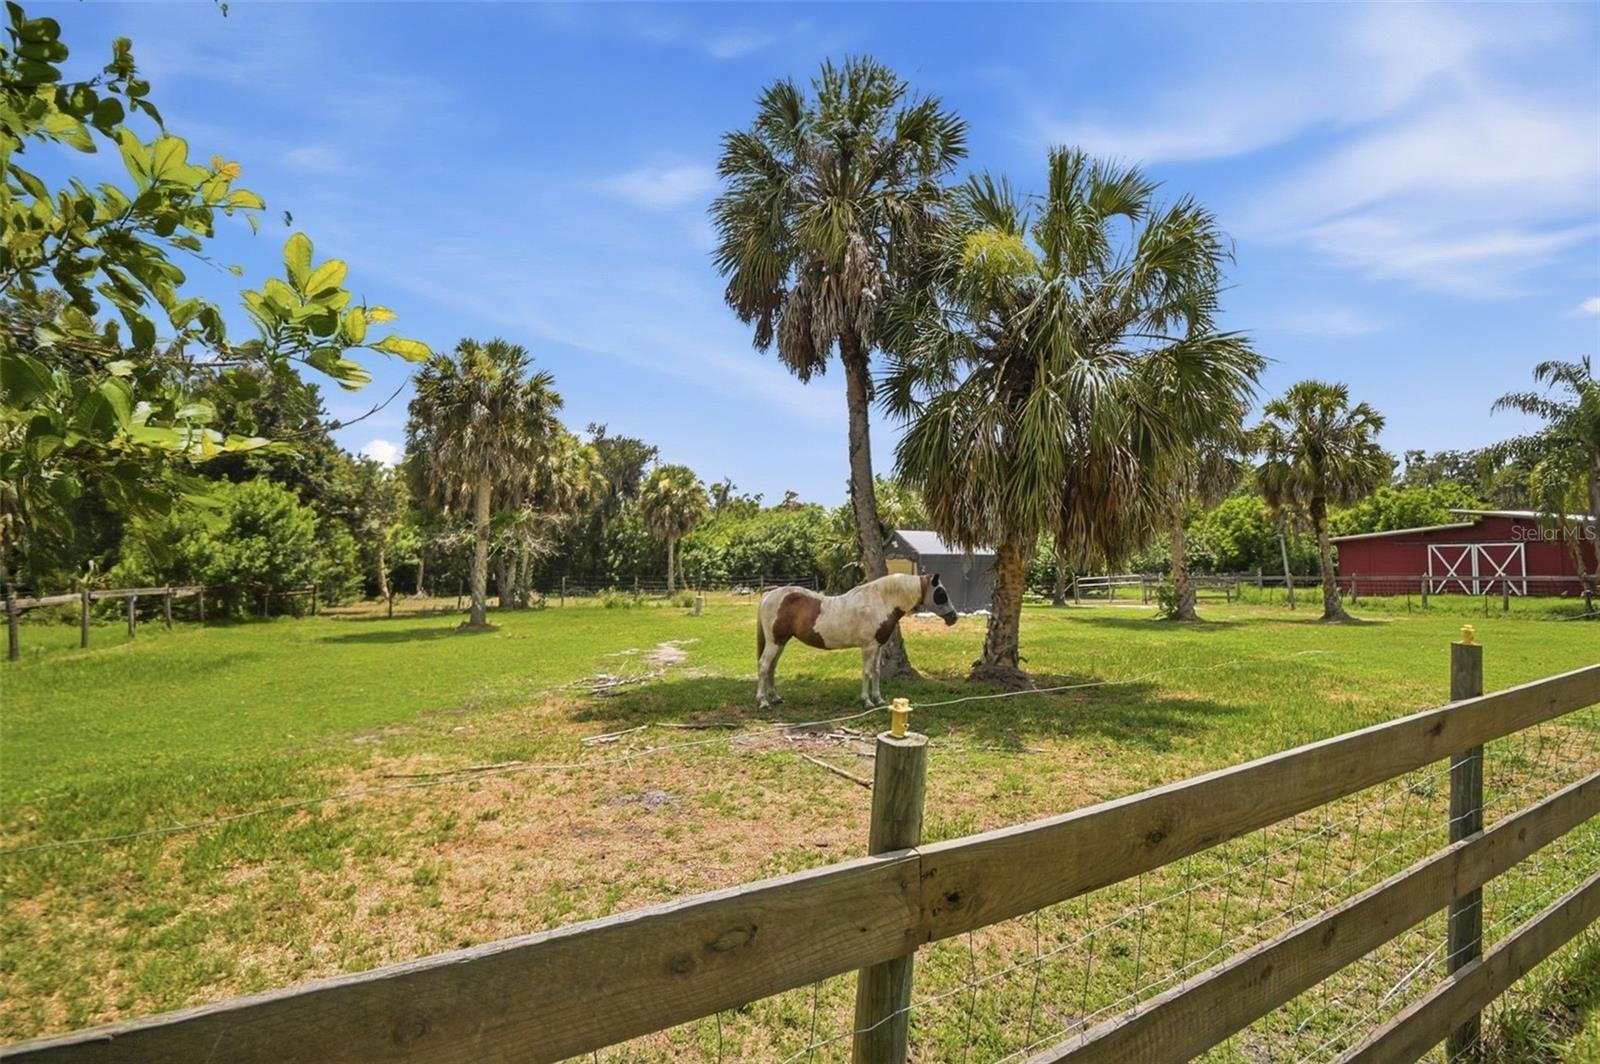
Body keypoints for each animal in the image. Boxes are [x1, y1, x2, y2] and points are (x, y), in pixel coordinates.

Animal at [756, 573, 958, 709]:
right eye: (941, 594)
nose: (954, 618)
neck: (881, 601)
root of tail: (769, 594)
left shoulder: (878, 647)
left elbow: (876, 672)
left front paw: (878, 699)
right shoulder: (868, 647)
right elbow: (867, 672)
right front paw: (867, 701)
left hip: (781, 642)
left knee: (772, 667)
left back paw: (775, 698)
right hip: (774, 643)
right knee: (764, 666)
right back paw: (763, 701)